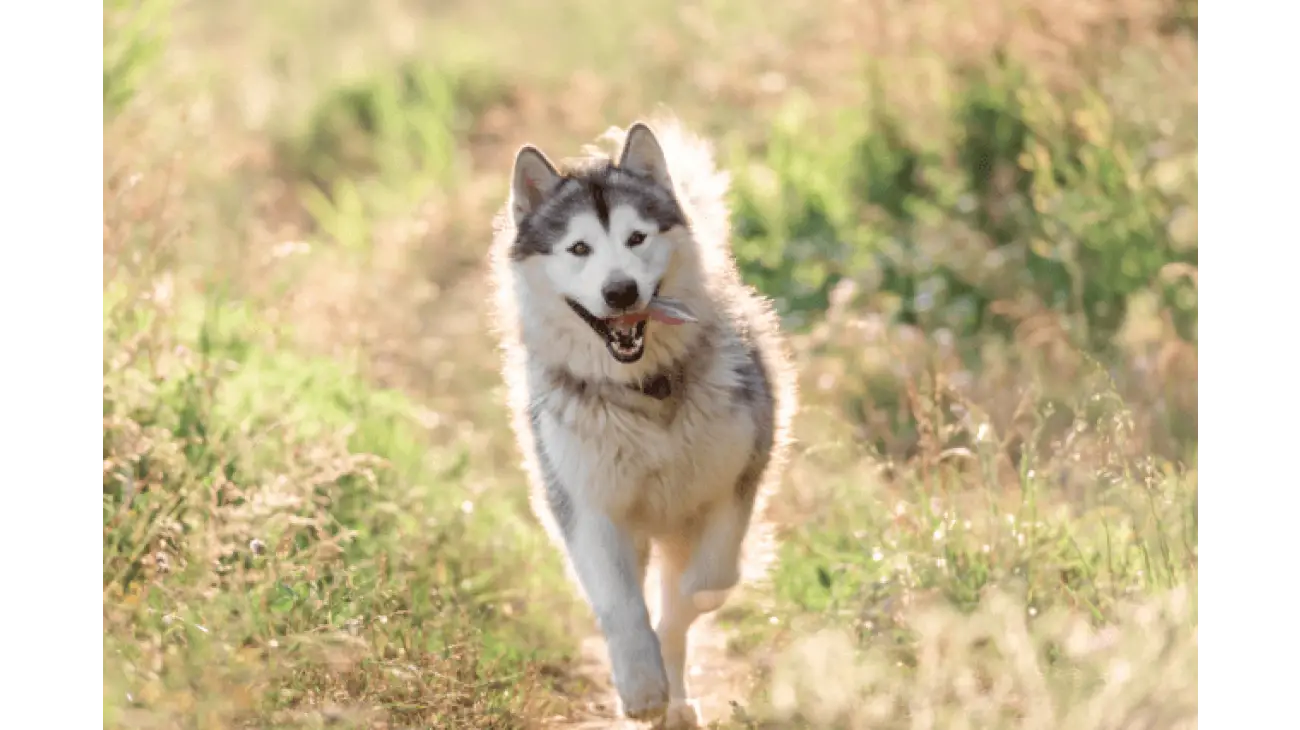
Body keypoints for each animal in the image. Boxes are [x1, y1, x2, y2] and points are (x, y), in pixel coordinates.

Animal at [488, 116, 790, 722]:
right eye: (579, 247)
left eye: (636, 238)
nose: (620, 290)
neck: (646, 391)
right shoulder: (589, 506)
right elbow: (623, 605)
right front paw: (643, 685)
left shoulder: (733, 485)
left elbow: (701, 590)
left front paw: (670, 677)